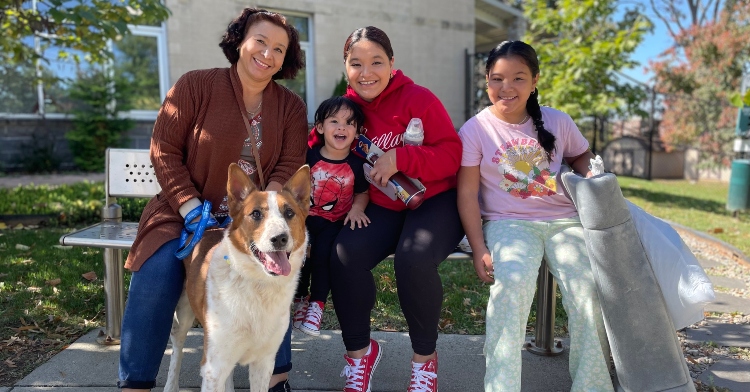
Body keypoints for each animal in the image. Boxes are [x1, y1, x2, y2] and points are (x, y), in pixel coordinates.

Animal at [165, 164, 312, 390]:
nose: (280, 238)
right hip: (183, 315)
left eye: (289, 213)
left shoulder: (264, 363)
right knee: (177, 352)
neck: (259, 284)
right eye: (256, 214)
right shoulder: (213, 368)